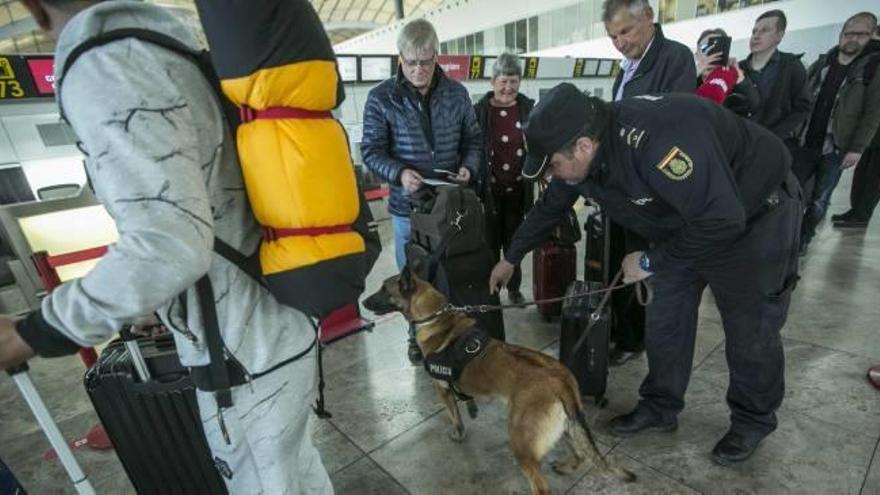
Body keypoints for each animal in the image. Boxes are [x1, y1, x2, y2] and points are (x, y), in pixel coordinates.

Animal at [360, 270, 636, 494]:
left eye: (384, 289)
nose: (362, 302)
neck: (436, 317)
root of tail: (560, 378)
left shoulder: (443, 392)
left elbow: (455, 418)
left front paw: (458, 434)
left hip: (521, 442)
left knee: (541, 486)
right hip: (568, 427)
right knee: (580, 455)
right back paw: (566, 467)